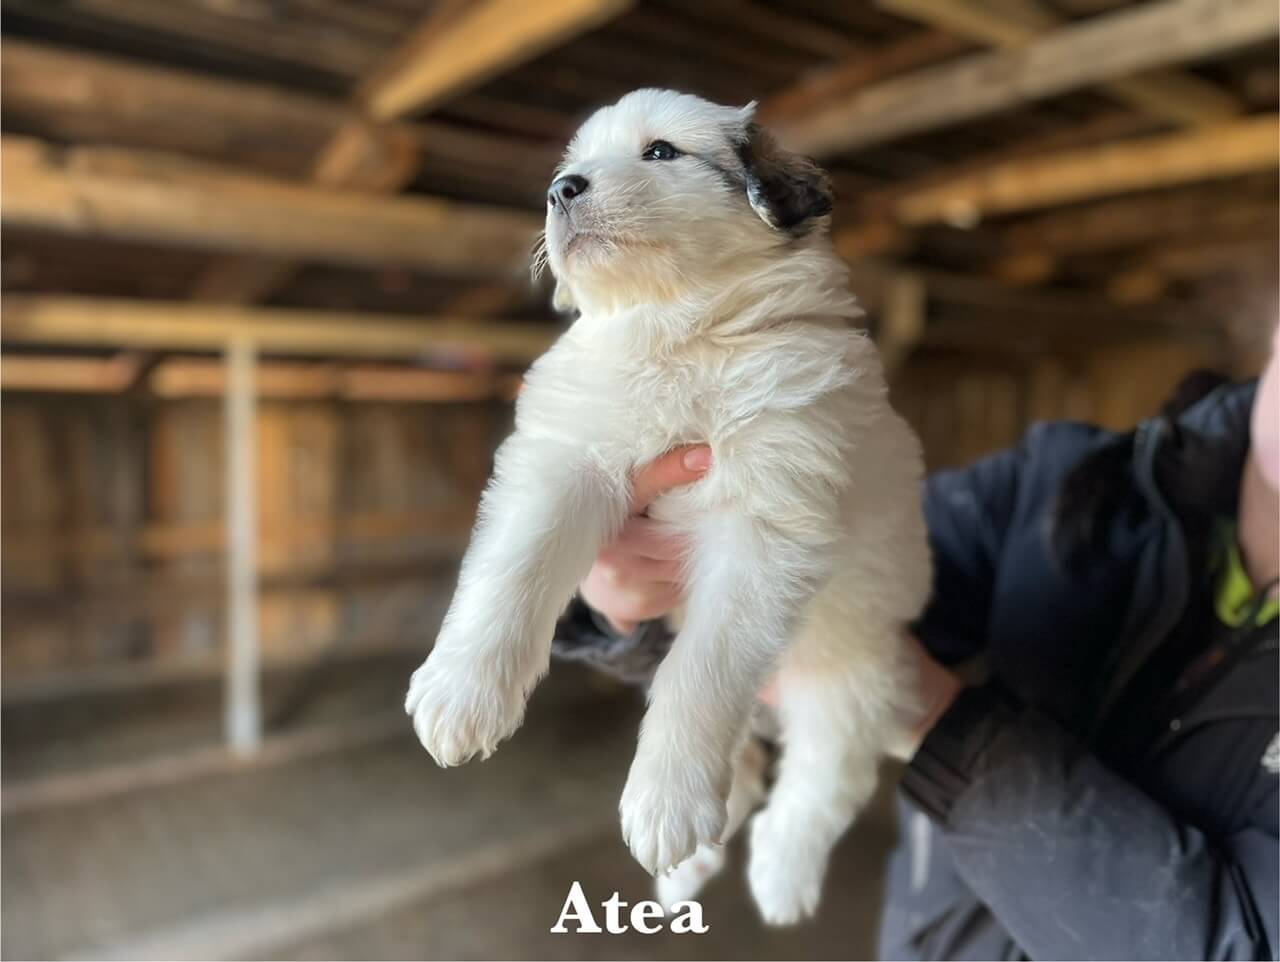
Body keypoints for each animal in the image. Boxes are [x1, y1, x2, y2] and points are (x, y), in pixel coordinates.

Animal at [407, 92, 931, 926]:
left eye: (661, 152)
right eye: (571, 165)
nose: (561, 190)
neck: (678, 334)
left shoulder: (767, 523)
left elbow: (704, 672)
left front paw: (666, 804)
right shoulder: (564, 457)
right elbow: (513, 568)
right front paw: (461, 693)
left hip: (853, 666)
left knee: (824, 773)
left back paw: (778, 877)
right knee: (747, 763)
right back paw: (693, 869)